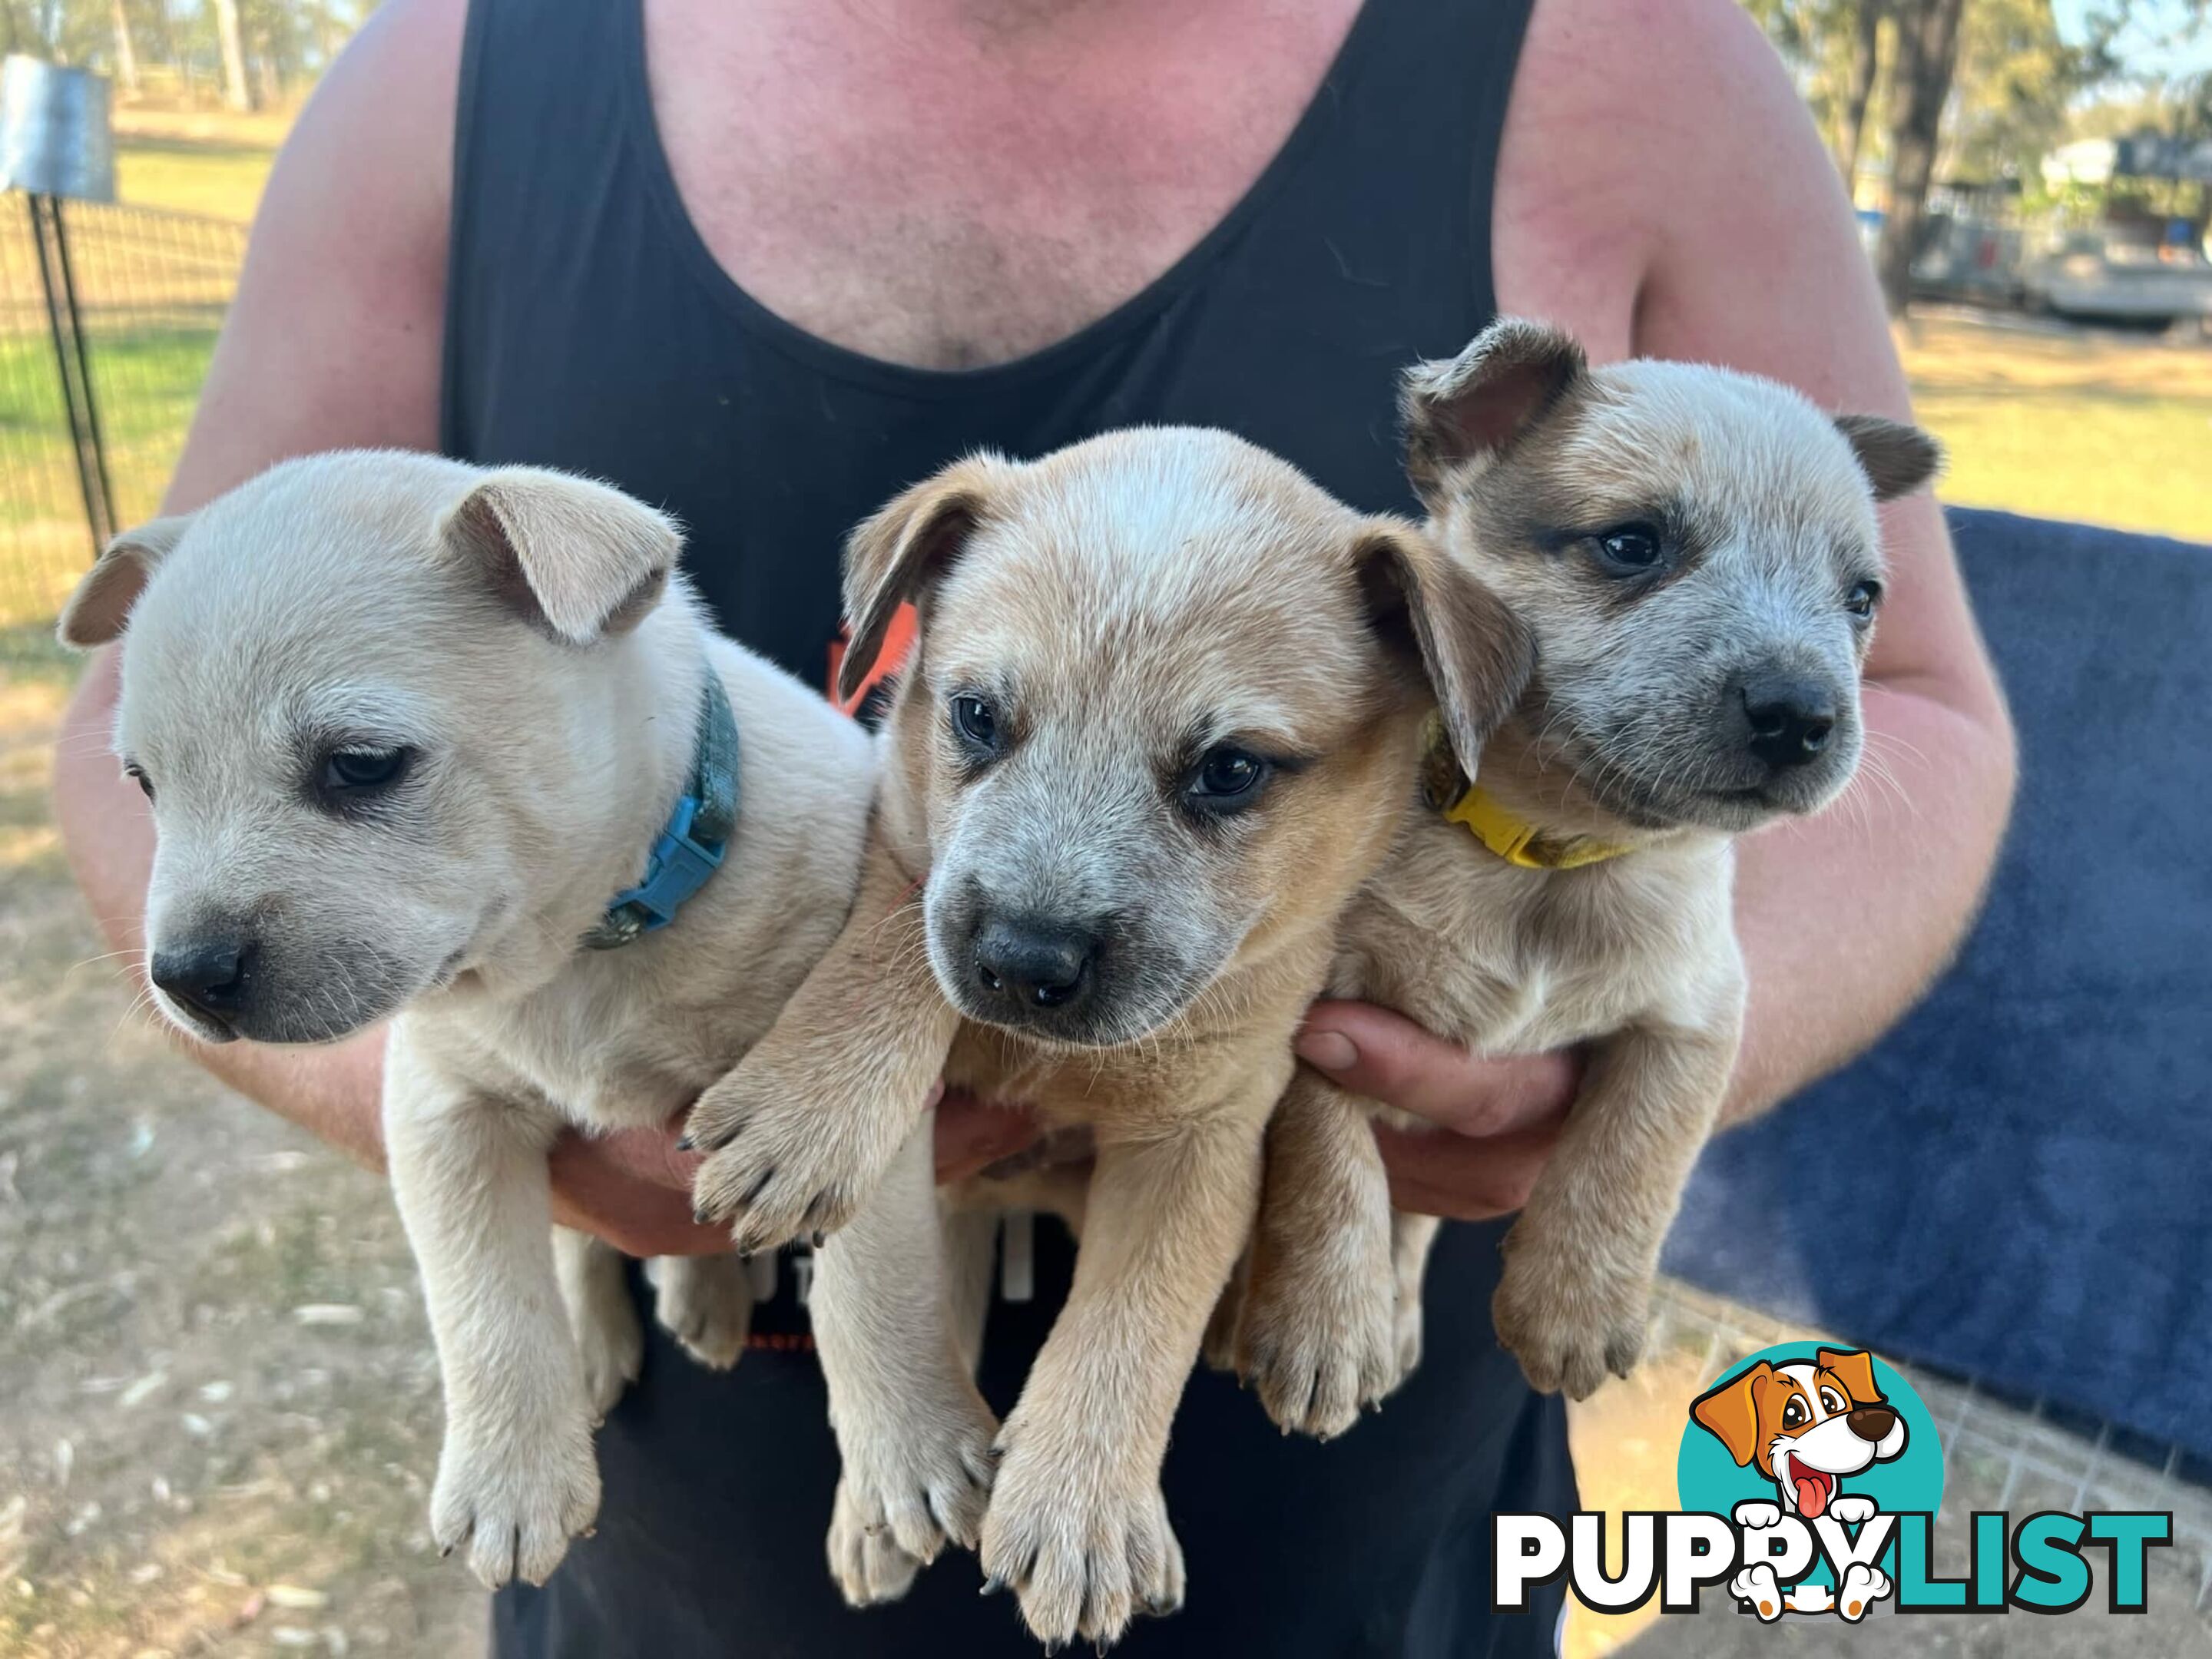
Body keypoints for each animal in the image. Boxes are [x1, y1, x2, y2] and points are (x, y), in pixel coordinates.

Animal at [60, 451, 871, 1584]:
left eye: (361, 765)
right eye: (143, 784)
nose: (182, 976)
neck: (584, 951)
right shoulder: (446, 1108)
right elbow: (485, 1293)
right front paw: (511, 1485)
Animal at [681, 429, 1530, 1654]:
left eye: (1230, 770)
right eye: (976, 716)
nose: (1021, 964)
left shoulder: (1202, 1137)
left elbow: (1135, 1320)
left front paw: (1081, 1514)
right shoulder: (908, 846)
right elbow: (896, 955)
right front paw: (812, 1113)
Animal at [1230, 325, 1937, 1442]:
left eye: (1860, 599)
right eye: (1633, 545)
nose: (1801, 713)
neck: (1544, 861)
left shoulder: (1697, 1016)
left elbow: (1634, 1150)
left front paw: (1574, 1308)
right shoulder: (1317, 1001)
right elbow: (1326, 1152)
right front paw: (1319, 1322)